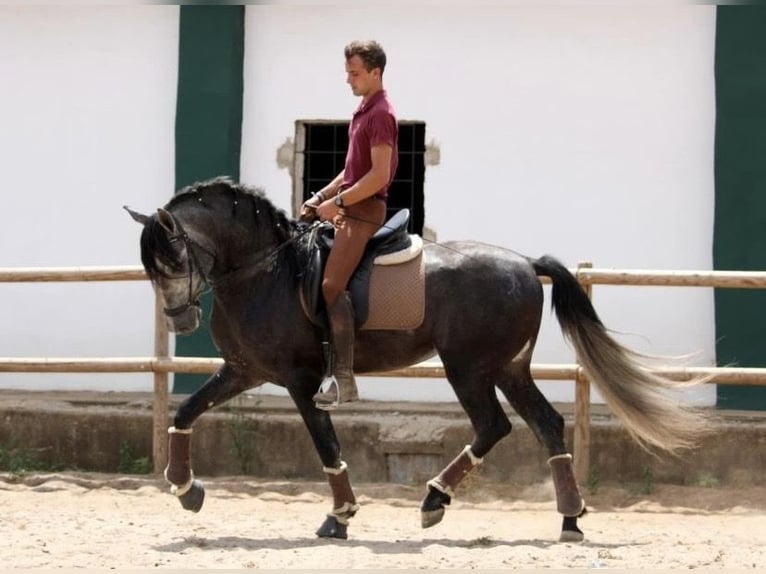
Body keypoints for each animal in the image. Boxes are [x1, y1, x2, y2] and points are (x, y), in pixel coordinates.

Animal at [126, 177, 708, 544]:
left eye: (173, 257)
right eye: (152, 266)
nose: (179, 320)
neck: (264, 269)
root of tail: (525, 263)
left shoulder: (299, 379)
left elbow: (327, 445)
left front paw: (340, 516)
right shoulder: (244, 370)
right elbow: (185, 412)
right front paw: (185, 489)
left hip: (469, 368)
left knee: (493, 426)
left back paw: (434, 501)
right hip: (508, 369)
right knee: (546, 424)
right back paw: (569, 519)